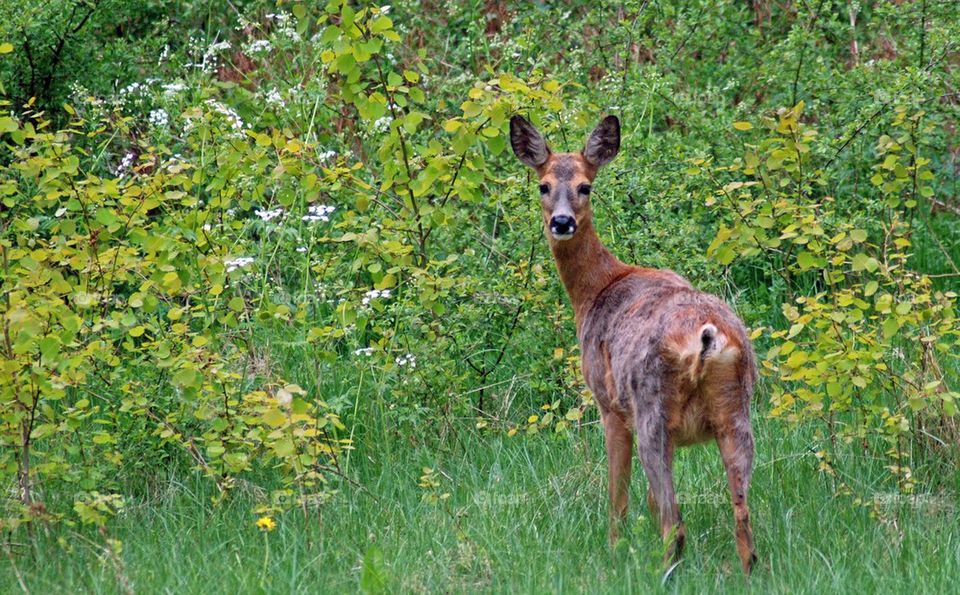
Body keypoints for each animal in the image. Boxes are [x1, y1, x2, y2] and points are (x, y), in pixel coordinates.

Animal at [510, 114, 756, 576]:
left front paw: (614, 547)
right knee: (742, 522)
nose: (562, 223)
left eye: (586, 186)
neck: (597, 289)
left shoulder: (608, 405)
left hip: (649, 409)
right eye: (543, 185)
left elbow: (618, 494)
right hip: (737, 413)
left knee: (675, 523)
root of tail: (709, 338)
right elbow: (648, 499)